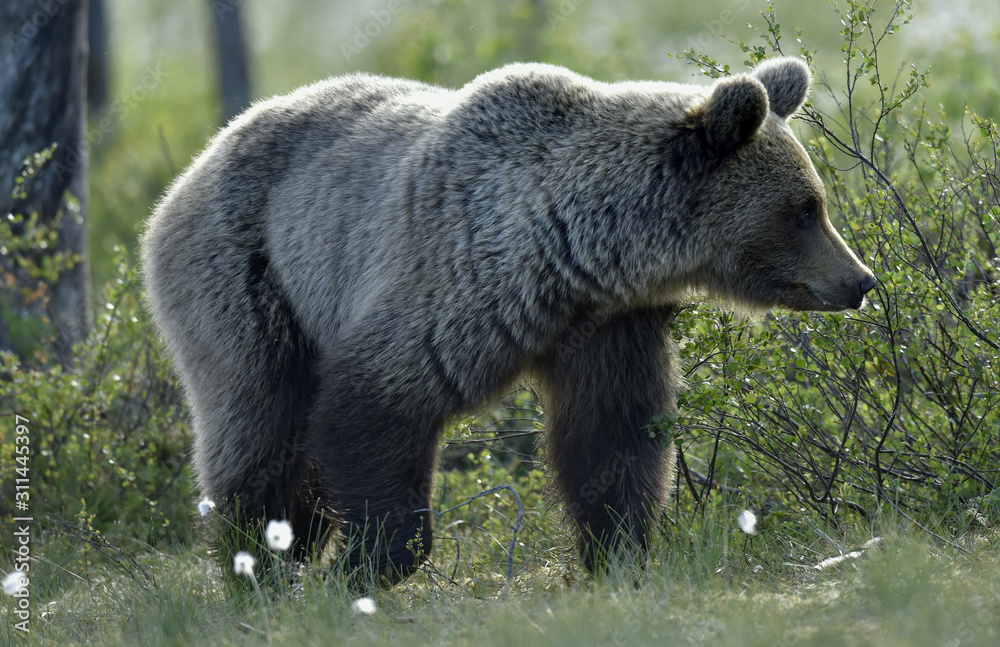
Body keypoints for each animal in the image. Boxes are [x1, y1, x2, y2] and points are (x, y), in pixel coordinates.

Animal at [140, 56, 876, 585]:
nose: (861, 281)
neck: (580, 252)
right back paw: (257, 561)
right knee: (260, 427)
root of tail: (194, 163)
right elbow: (374, 405)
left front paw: (618, 551)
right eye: (805, 209)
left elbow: (614, 436)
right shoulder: (457, 281)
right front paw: (371, 559)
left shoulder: (610, 326)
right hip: (248, 277)